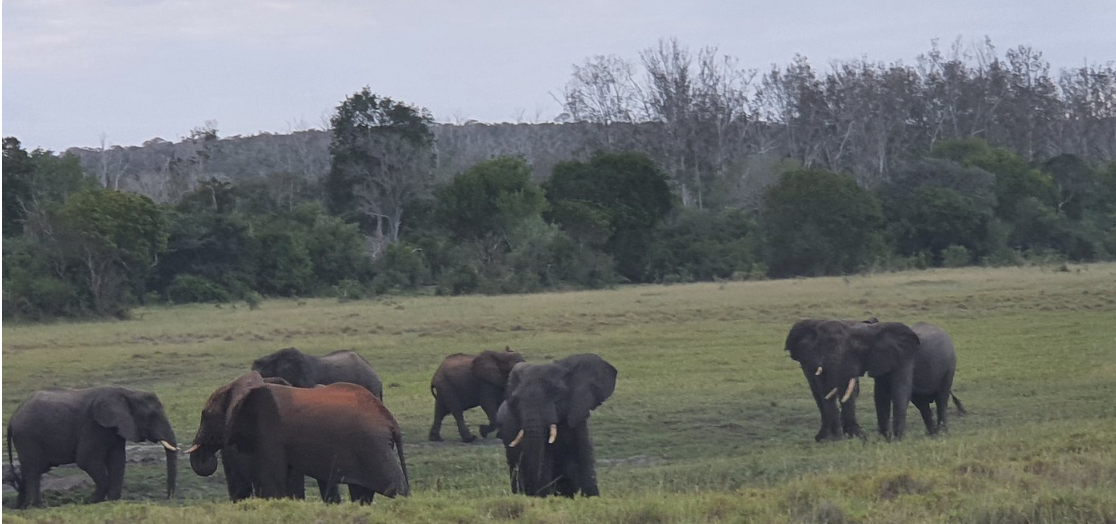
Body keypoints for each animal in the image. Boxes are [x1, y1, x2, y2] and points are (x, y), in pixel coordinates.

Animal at [5, 385, 178, 508]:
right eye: (151, 417)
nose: (168, 498)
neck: (128, 393)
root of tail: (13, 417)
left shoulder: (114, 428)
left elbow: (118, 461)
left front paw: (113, 500)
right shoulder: (93, 425)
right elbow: (87, 460)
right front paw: (92, 501)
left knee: (32, 470)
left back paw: (23, 506)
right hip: (27, 437)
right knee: (34, 470)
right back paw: (37, 506)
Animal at [187, 372, 410, 503]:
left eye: (205, 415)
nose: (207, 455)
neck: (240, 386)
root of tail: (390, 420)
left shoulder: (270, 430)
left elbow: (273, 480)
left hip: (374, 446)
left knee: (394, 485)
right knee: (362, 490)